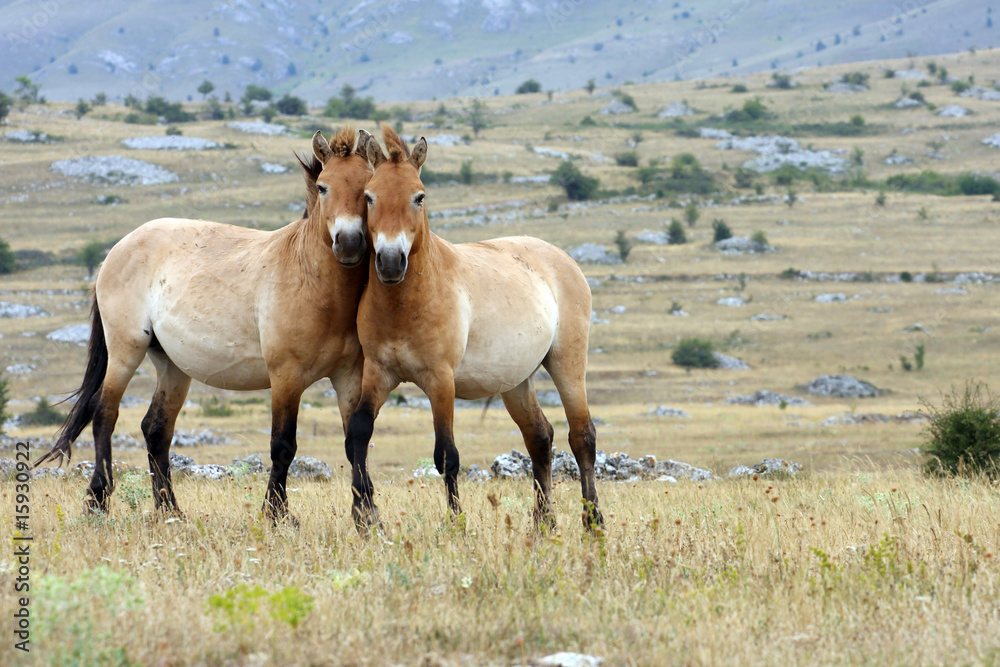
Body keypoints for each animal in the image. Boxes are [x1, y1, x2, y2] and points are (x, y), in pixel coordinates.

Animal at [35, 127, 376, 524]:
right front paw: (277, 515)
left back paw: (169, 508)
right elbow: (283, 445)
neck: (310, 278)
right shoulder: (286, 377)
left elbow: (355, 441)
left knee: (155, 429)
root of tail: (117, 250)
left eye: (368, 189)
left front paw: (367, 515)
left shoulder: (349, 377)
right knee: (105, 414)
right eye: (323, 187)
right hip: (125, 351)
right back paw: (97, 502)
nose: (349, 243)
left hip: (171, 365)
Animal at [343, 126, 603, 533]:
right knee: (540, 437)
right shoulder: (379, 373)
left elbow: (446, 455)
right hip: (515, 381)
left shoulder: (440, 381)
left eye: (419, 197)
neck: (406, 305)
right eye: (369, 197)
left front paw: (456, 523)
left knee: (582, 437)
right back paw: (543, 524)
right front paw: (363, 519)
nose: (390, 262)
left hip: (567, 363)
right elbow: (358, 432)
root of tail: (563, 258)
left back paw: (593, 522)